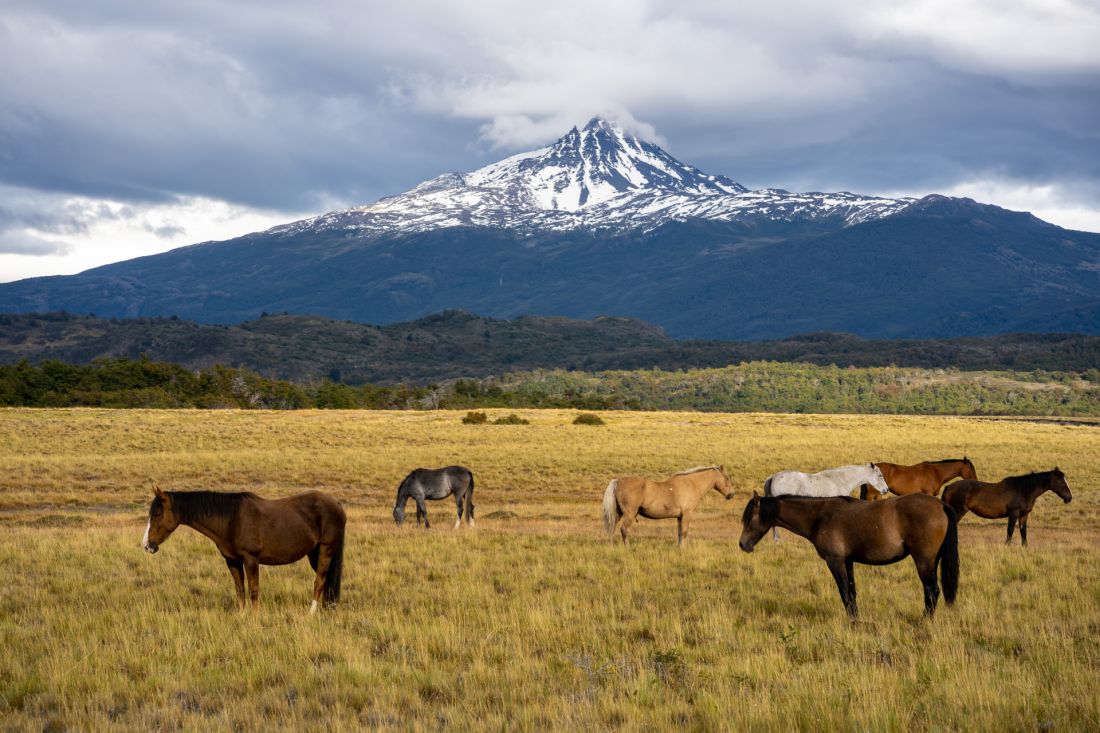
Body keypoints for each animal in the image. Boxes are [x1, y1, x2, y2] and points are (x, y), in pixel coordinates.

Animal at [141, 484, 345, 611]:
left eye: (157, 514)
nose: (147, 546)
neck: (231, 519)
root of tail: (336, 504)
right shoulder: (232, 561)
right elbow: (240, 591)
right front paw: (242, 615)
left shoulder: (251, 559)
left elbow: (254, 590)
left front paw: (255, 619)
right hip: (314, 553)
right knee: (326, 580)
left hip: (326, 549)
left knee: (319, 581)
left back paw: (311, 613)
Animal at [739, 490, 963, 616]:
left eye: (749, 518)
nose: (742, 545)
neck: (820, 516)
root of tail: (940, 504)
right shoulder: (848, 562)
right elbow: (853, 593)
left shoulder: (835, 561)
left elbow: (845, 593)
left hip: (924, 561)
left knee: (932, 591)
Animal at [937, 468, 1073, 541]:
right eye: (1061, 481)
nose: (1069, 498)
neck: (1024, 489)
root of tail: (948, 487)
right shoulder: (1014, 514)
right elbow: (1010, 530)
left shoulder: (1023, 515)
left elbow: (1023, 532)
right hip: (959, 512)